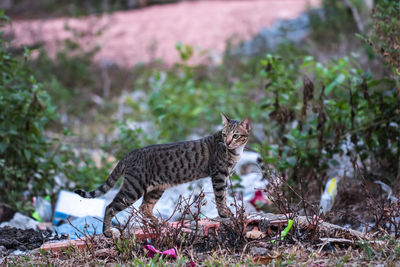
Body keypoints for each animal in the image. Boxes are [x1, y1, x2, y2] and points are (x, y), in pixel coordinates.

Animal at [74, 113, 250, 237]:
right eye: (224, 134)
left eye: (236, 135)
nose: (227, 142)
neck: (235, 152)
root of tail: (130, 153)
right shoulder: (219, 174)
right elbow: (220, 196)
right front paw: (224, 213)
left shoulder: (225, 175)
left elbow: (224, 195)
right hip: (134, 188)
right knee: (110, 207)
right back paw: (107, 232)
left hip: (156, 188)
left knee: (144, 207)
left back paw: (160, 224)